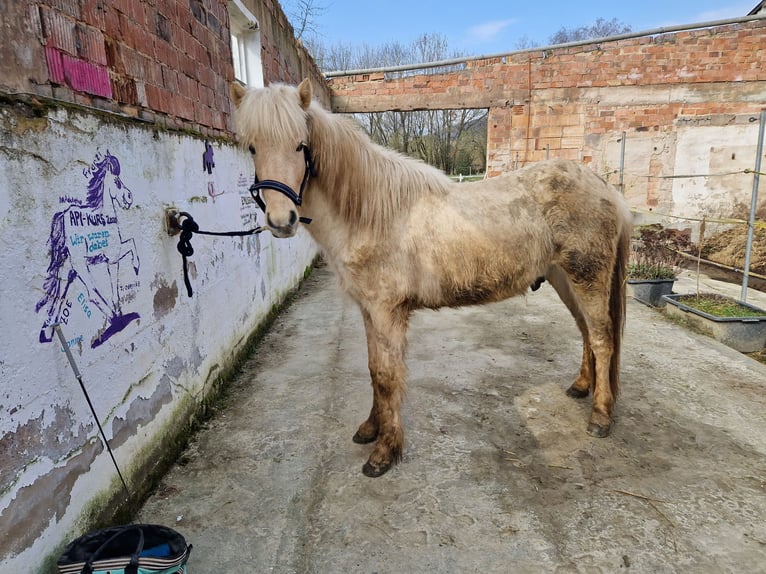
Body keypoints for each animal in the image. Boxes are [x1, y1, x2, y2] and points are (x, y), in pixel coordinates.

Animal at [231, 79, 632, 480]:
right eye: (252, 147)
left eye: (300, 145)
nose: (282, 221)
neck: (371, 213)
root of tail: (605, 188)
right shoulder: (369, 311)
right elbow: (374, 369)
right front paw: (370, 429)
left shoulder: (387, 311)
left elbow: (389, 376)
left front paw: (384, 453)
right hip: (565, 280)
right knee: (586, 332)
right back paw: (581, 388)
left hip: (588, 278)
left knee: (602, 339)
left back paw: (600, 416)